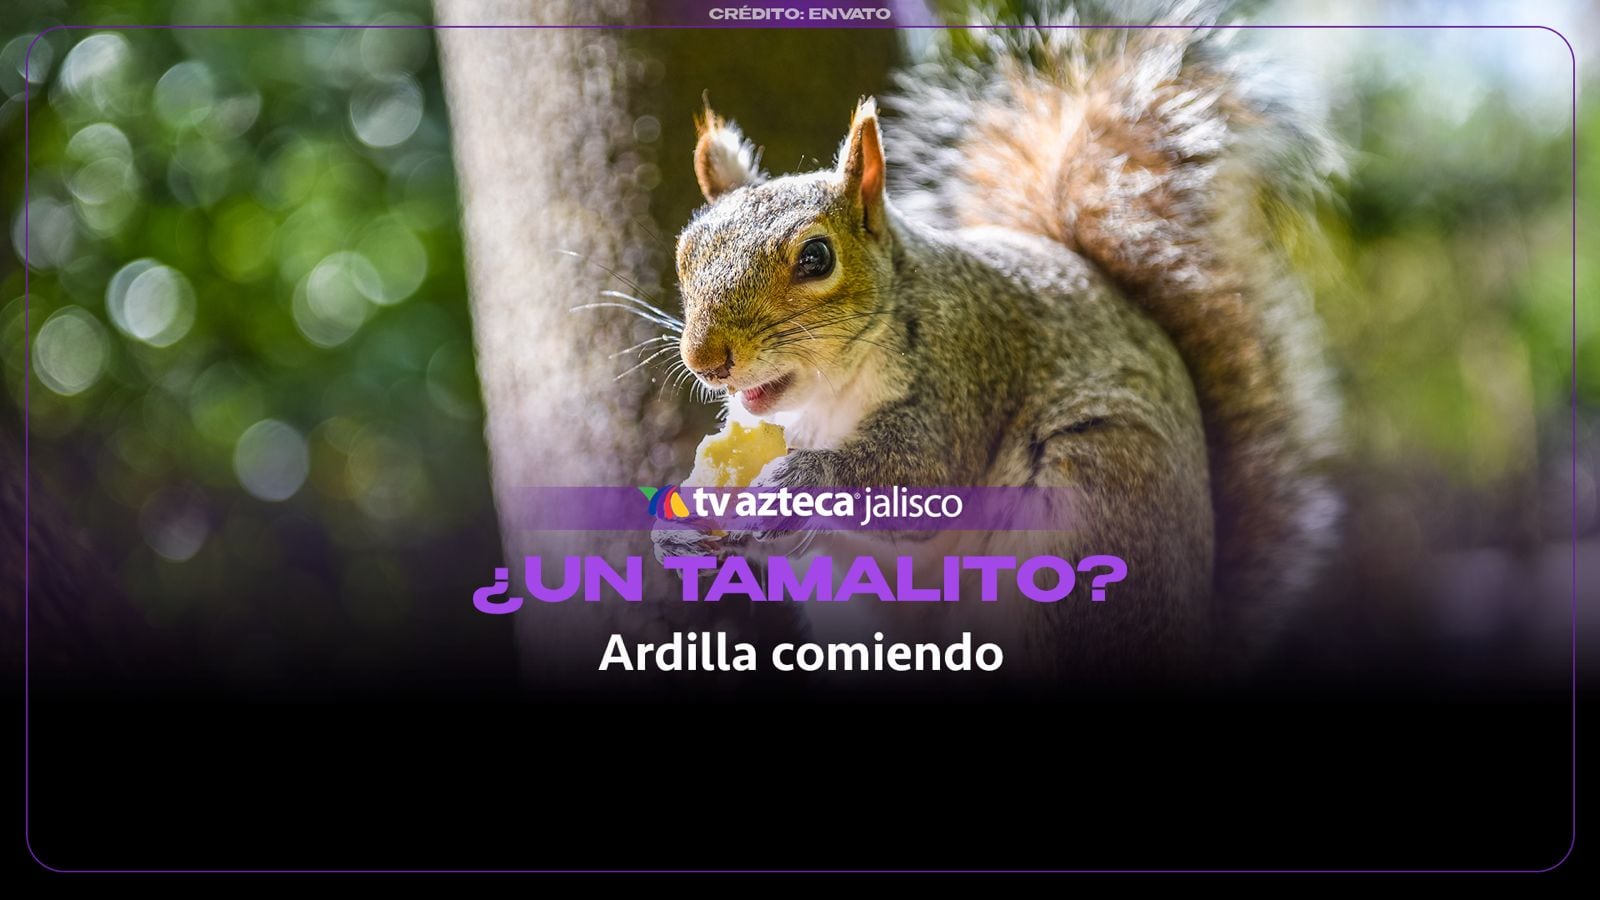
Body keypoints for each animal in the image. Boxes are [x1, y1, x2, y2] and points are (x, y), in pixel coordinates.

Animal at [653, 20, 1343, 678]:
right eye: (685, 252)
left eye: (817, 258)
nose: (705, 359)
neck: (824, 400)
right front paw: (675, 530)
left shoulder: (964, 372)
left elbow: (923, 479)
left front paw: (796, 483)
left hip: (1085, 523)